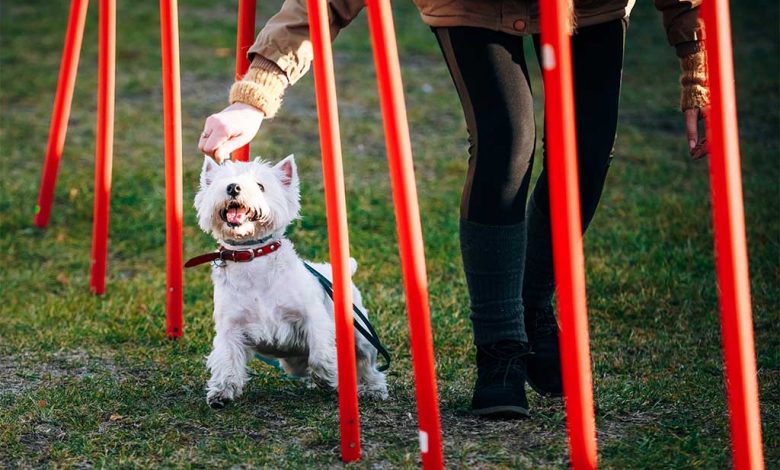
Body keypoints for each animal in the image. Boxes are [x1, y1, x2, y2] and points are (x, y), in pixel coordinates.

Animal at [193, 154, 388, 408]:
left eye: (260, 186)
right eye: (222, 181)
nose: (233, 188)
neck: (252, 258)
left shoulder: (312, 317)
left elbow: (321, 353)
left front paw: (329, 377)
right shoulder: (231, 327)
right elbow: (227, 360)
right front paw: (221, 393)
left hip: (360, 334)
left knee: (367, 363)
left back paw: (373, 389)